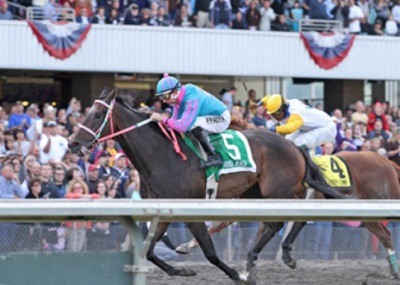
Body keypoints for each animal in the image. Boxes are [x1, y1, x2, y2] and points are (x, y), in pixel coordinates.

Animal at [67, 89, 346, 282]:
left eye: (98, 115)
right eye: (87, 112)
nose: (73, 144)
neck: (163, 155)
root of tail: (293, 145)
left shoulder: (190, 209)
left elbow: (210, 251)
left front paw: (236, 275)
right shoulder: (164, 209)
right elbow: (149, 250)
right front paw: (182, 271)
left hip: (278, 191)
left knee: (285, 220)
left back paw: (266, 257)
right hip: (259, 192)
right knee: (282, 221)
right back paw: (266, 257)